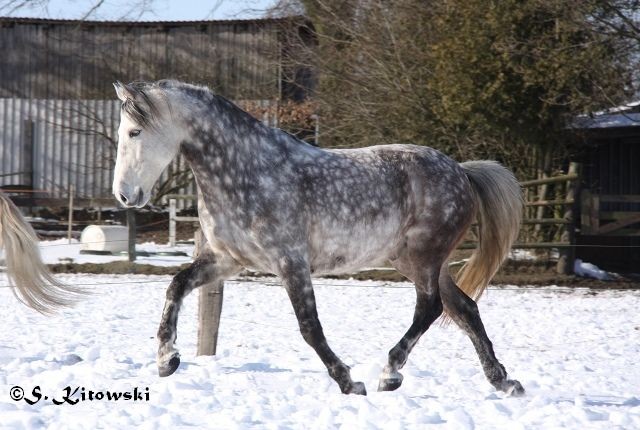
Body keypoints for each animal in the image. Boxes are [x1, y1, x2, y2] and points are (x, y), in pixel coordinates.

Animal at [112, 80, 524, 396]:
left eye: (135, 132)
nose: (124, 196)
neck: (246, 169)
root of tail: (461, 171)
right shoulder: (228, 260)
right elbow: (176, 286)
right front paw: (167, 359)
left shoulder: (290, 261)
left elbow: (310, 327)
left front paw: (348, 382)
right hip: (418, 262)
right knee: (464, 308)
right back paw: (503, 381)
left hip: (423, 259)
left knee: (431, 308)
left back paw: (390, 373)